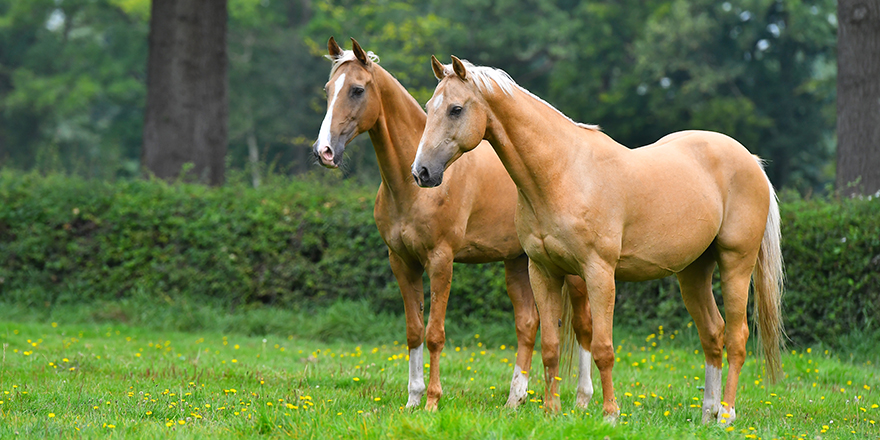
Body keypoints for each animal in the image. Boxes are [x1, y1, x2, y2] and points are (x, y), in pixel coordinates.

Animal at [310, 38, 592, 412]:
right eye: (328, 90)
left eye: (357, 89)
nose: (324, 152)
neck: (410, 188)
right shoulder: (402, 262)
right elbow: (414, 330)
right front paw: (413, 399)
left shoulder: (441, 261)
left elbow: (434, 333)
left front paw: (432, 401)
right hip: (517, 262)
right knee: (527, 324)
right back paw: (514, 399)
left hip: (571, 272)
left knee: (585, 325)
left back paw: (583, 400)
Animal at [412, 55, 784, 422]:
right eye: (430, 106)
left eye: (456, 109)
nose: (421, 172)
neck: (563, 172)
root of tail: (751, 161)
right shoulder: (543, 272)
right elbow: (550, 347)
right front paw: (551, 412)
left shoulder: (599, 272)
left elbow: (604, 348)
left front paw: (609, 414)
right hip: (693, 272)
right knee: (713, 334)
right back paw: (707, 415)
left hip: (736, 264)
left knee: (736, 337)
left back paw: (726, 416)